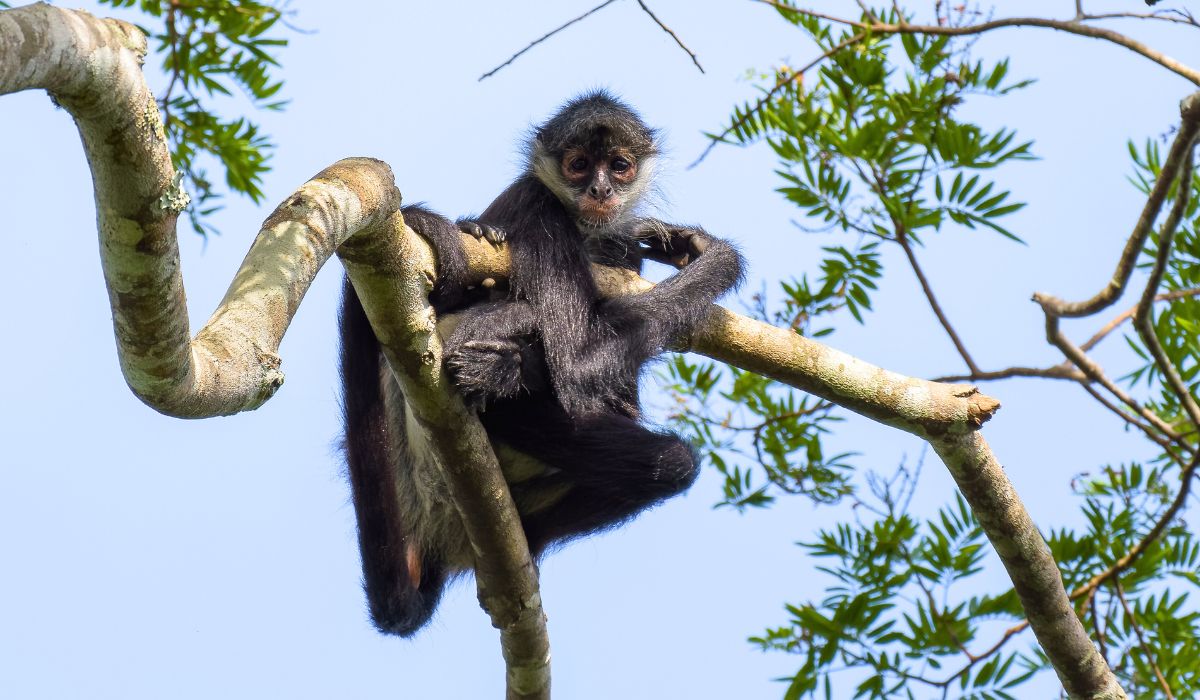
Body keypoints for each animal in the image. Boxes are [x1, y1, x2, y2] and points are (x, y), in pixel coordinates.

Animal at [338, 90, 744, 638]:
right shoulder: (538, 206)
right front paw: (718, 255)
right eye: (578, 165)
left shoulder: (618, 245)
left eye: (619, 166)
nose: (599, 189)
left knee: (670, 464)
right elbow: (576, 363)